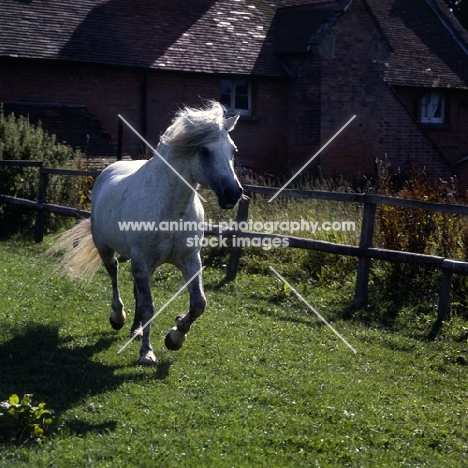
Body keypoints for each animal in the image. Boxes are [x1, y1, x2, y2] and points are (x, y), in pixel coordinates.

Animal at [50, 101, 241, 366]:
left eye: (233, 150)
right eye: (204, 150)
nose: (233, 193)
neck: (172, 210)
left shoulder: (190, 259)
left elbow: (198, 304)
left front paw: (175, 337)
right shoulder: (141, 260)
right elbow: (150, 307)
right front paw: (147, 354)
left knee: (137, 293)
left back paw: (135, 329)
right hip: (107, 249)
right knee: (114, 274)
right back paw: (118, 318)